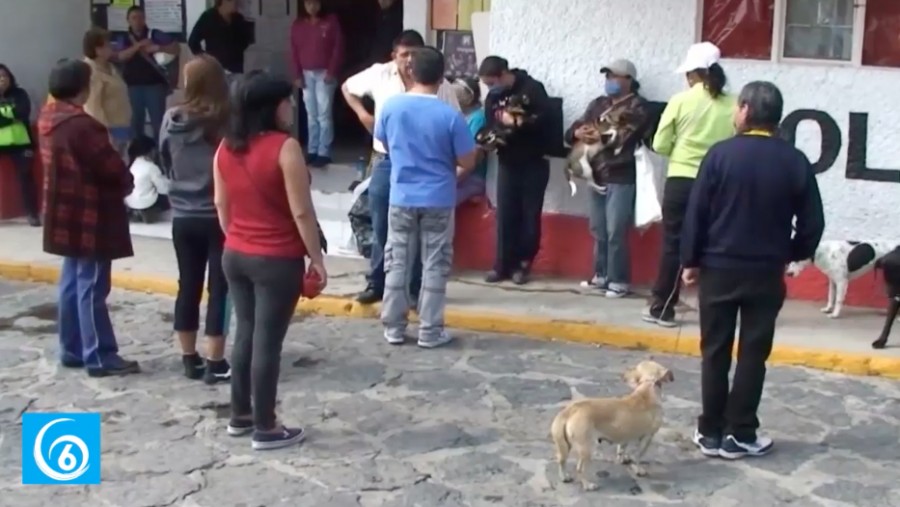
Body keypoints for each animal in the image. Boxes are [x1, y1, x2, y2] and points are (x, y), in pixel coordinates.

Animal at [548, 362, 676, 492]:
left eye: (635, 368)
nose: (623, 374)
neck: (647, 388)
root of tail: (570, 410)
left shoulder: (625, 435)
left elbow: (622, 448)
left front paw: (623, 458)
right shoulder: (647, 437)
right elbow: (638, 456)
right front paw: (638, 470)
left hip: (565, 445)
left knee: (561, 460)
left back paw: (564, 477)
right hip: (587, 448)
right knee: (580, 469)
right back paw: (588, 485)